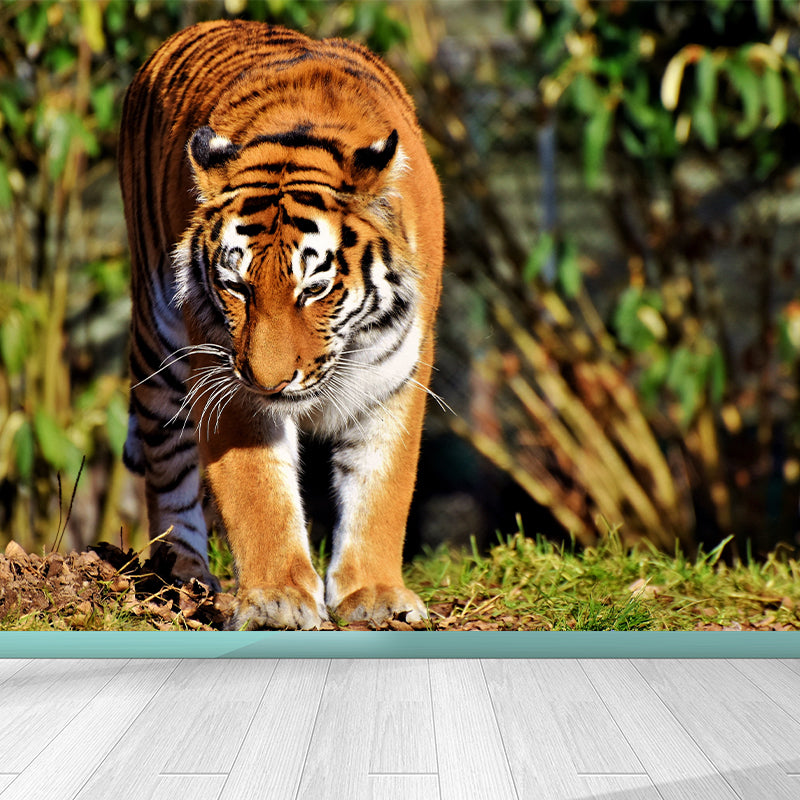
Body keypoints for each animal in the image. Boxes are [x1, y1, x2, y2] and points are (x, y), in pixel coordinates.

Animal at [117, 19, 444, 630]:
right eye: (236, 286)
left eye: (314, 288)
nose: (270, 382)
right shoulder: (225, 373)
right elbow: (258, 494)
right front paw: (277, 602)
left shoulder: (396, 373)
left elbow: (381, 486)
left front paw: (375, 595)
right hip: (159, 347)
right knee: (167, 469)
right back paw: (183, 574)